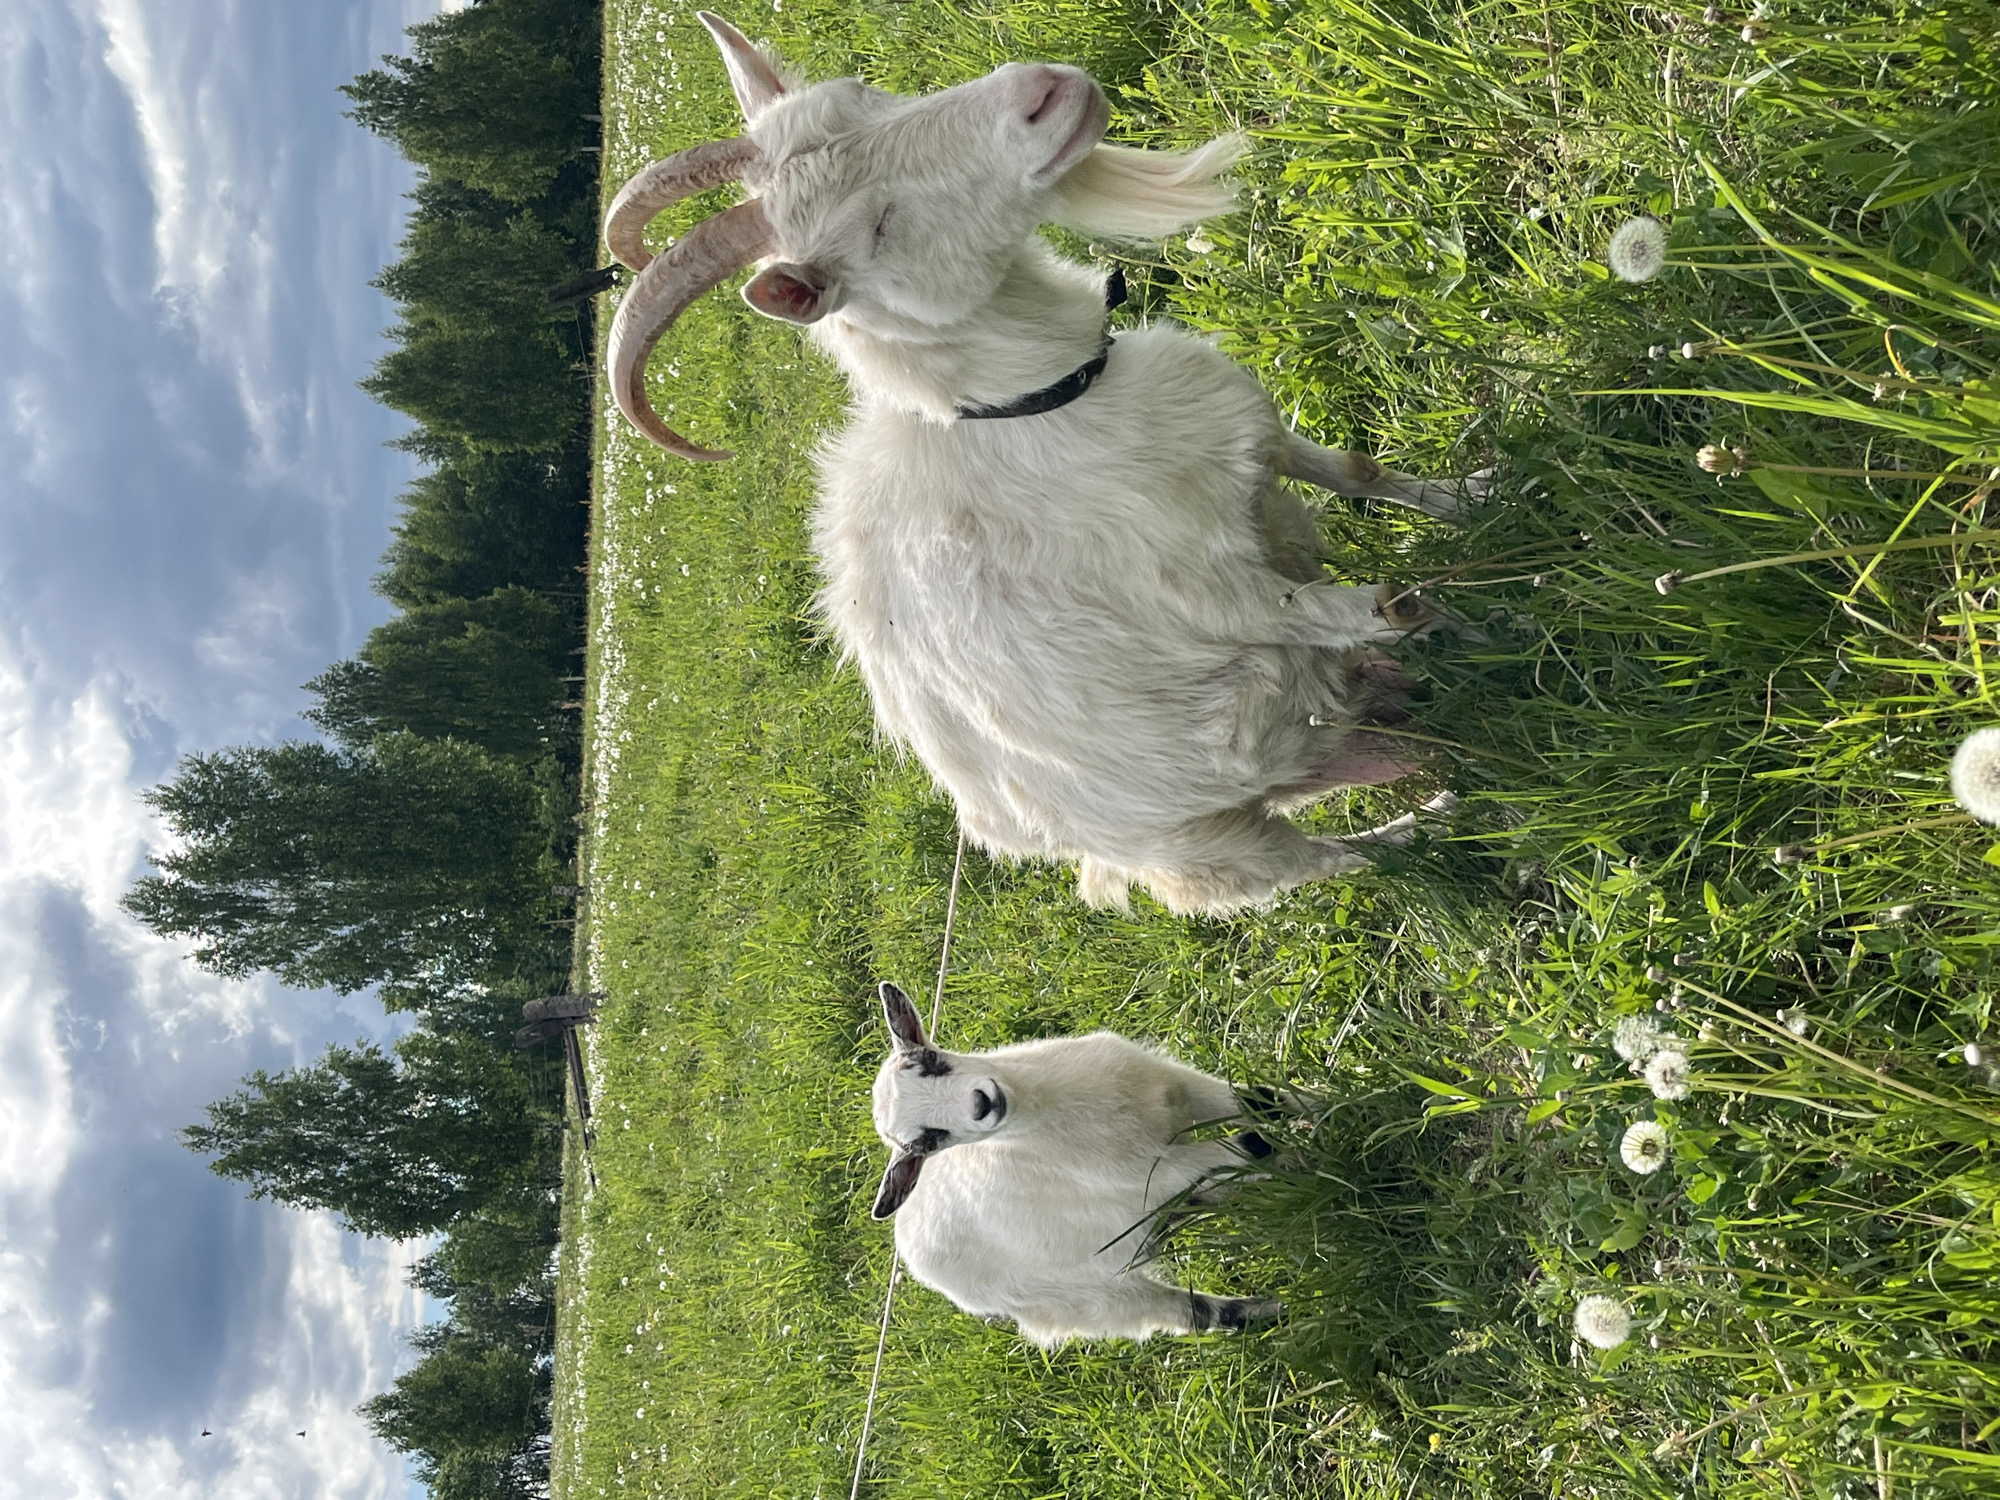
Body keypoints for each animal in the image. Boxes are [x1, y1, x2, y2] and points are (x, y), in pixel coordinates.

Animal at [604, 14, 1478, 915]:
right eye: (877, 225)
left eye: (869, 93)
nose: (1043, 91)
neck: (1046, 408)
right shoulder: (1225, 599)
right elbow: (1391, 606)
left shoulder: (1251, 436)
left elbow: (1358, 471)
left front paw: (1477, 495)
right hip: (1207, 842)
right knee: (1328, 861)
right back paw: (1445, 819)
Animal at [867, 981, 1283, 1344]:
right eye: (929, 1140)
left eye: (932, 1060)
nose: (981, 1104)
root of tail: (907, 1240)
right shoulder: (1160, 1171)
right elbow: (1255, 1145)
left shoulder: (1179, 1087)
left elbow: (1264, 1103)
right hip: (1086, 1296)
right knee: (1194, 1313)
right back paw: (1274, 1310)